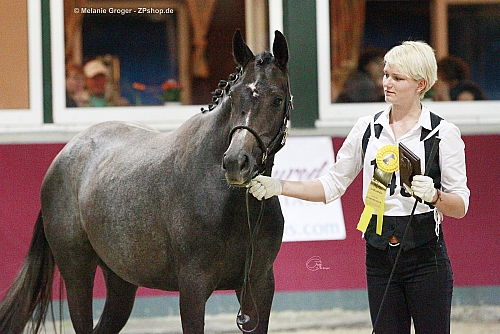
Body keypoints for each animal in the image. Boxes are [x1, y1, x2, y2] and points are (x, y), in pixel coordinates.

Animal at [0, 30, 292, 332]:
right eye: (233, 98)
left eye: (277, 99)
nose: (236, 163)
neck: (232, 206)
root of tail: (62, 158)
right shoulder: (193, 288)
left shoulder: (258, 286)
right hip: (77, 273)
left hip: (120, 281)